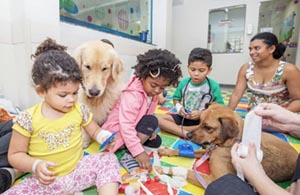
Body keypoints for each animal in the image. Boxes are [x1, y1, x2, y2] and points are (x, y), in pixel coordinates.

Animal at [156, 104, 296, 188]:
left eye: (208, 127)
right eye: (199, 121)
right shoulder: (209, 151)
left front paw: (163, 169)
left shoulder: (214, 179)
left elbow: (185, 171)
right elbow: (188, 151)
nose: (188, 135)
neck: (226, 144)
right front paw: (167, 151)